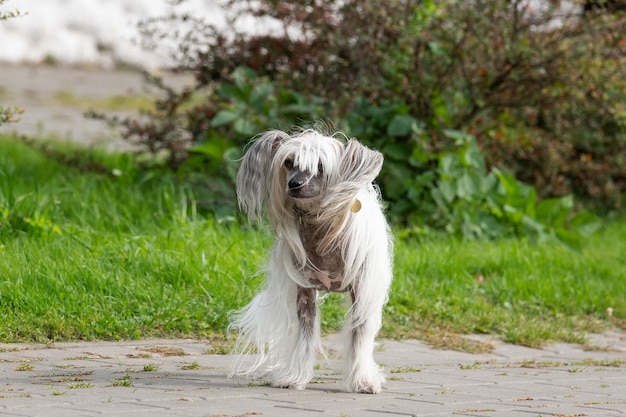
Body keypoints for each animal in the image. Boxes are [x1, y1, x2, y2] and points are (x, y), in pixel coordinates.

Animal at [230, 127, 390, 394]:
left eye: (320, 166)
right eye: (288, 162)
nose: (294, 184)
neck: (321, 227)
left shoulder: (361, 291)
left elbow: (359, 336)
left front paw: (363, 380)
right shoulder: (304, 292)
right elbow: (305, 335)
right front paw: (294, 377)